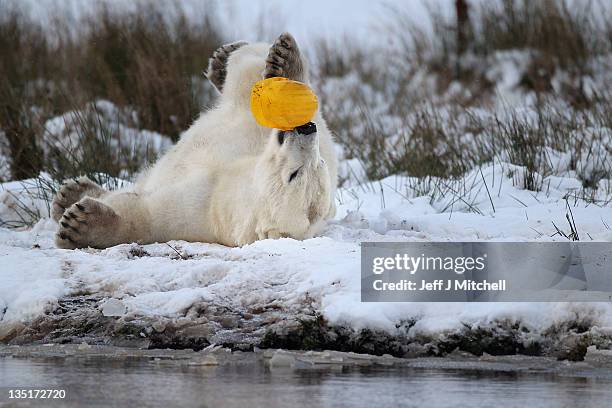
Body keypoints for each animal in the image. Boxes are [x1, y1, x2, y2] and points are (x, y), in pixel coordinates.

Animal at [51, 32, 340, 249]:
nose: (305, 129)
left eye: (296, 173)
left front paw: (81, 224)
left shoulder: (200, 210)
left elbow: (147, 215)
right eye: (319, 164)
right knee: (248, 77)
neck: (229, 183)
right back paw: (272, 59)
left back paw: (70, 195)